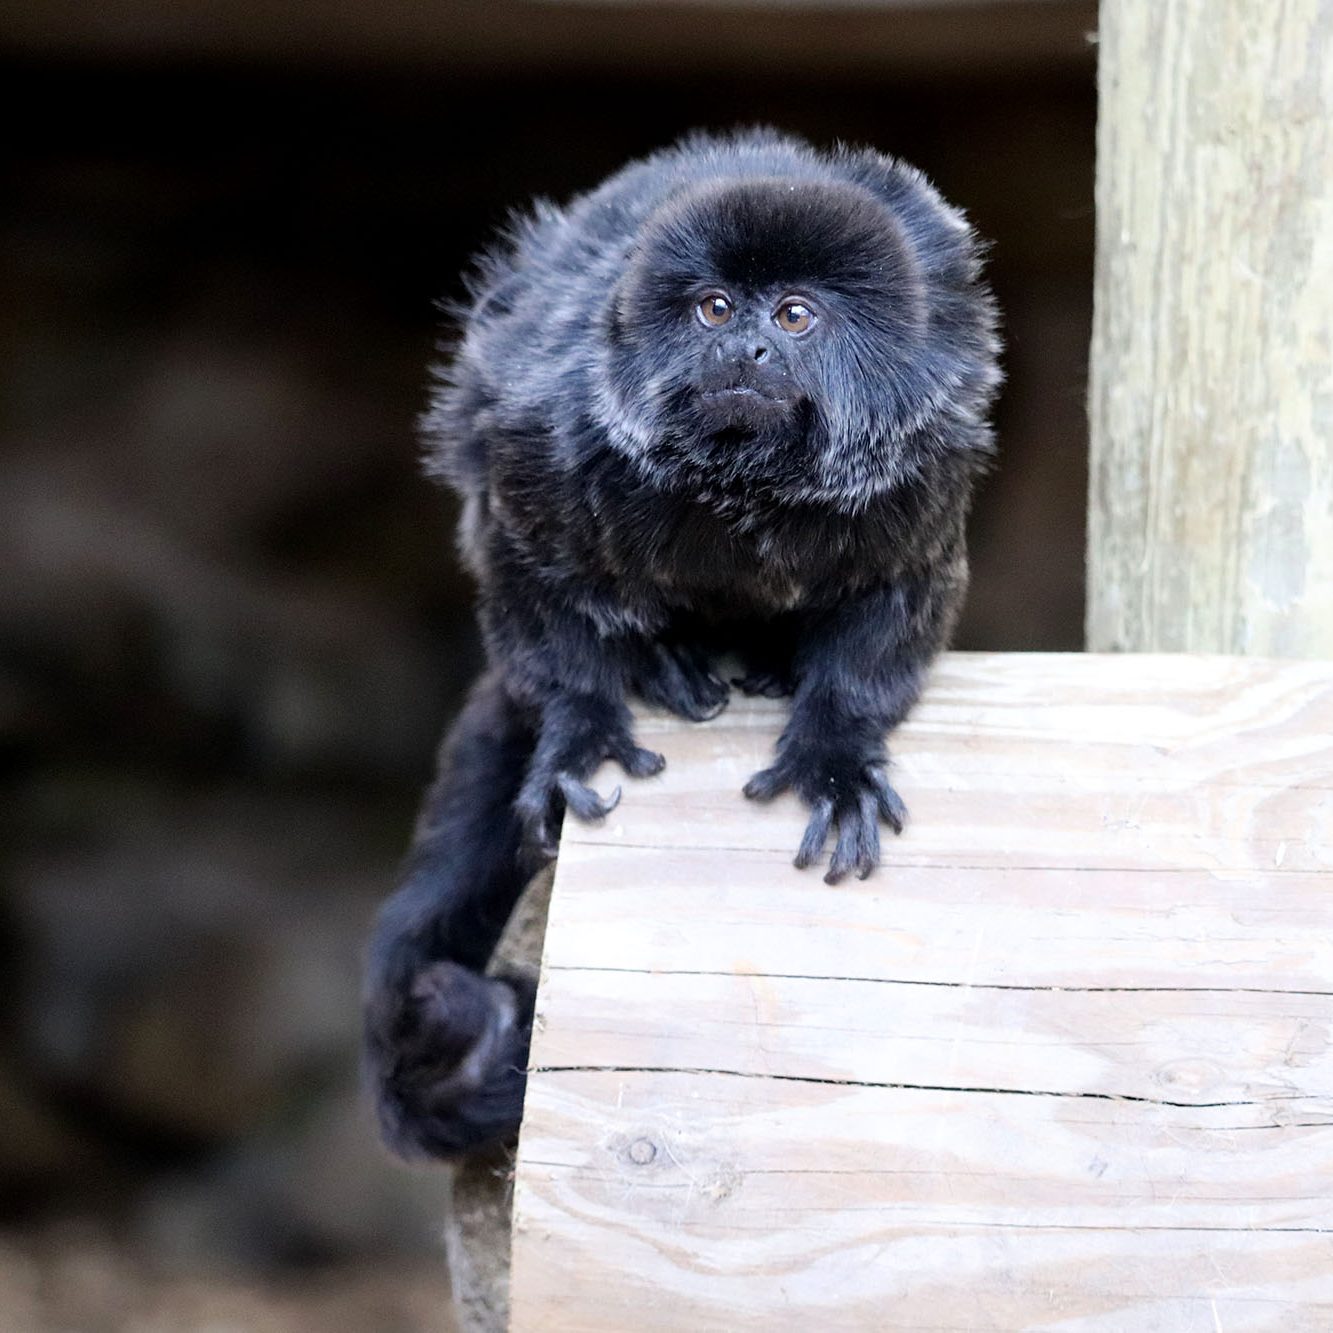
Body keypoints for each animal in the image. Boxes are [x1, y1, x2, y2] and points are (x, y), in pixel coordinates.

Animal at [365, 129, 1002, 1162]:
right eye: (713, 309)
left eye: (792, 317)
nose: (740, 347)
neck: (749, 481)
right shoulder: (547, 437)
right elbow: (525, 567)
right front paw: (580, 723)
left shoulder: (923, 465)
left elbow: (895, 609)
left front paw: (834, 751)